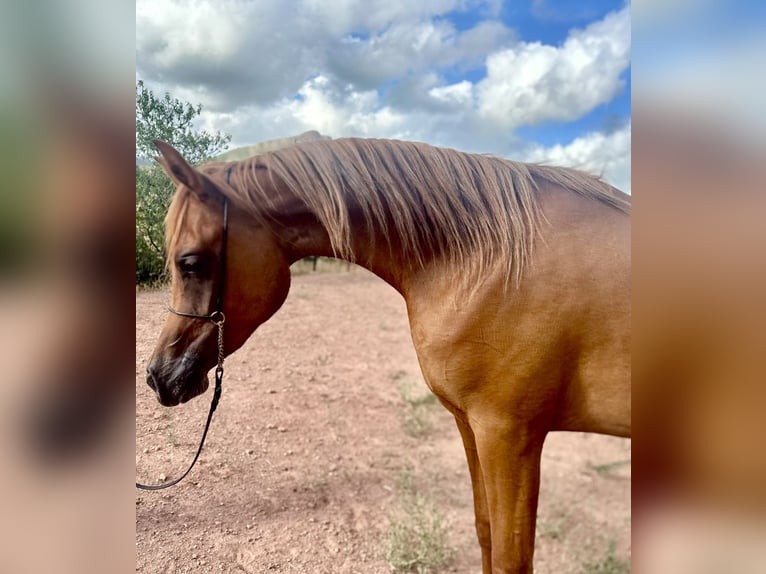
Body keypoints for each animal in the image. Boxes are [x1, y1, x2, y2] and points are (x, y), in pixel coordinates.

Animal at [147, 137, 631, 574]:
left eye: (190, 263)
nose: (157, 376)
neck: (485, 261)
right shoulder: (471, 426)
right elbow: (485, 532)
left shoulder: (510, 436)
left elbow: (512, 558)